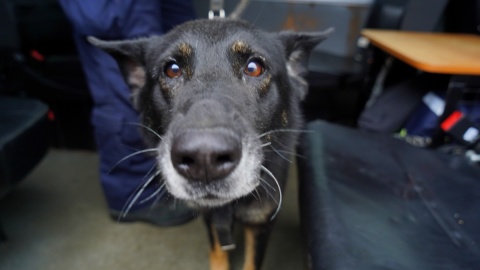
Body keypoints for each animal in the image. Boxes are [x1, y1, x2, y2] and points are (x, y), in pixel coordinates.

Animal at [89, 19, 330, 270]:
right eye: (172, 69)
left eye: (254, 68)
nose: (204, 158)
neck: (229, 207)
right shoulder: (209, 215)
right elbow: (217, 250)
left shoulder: (261, 220)